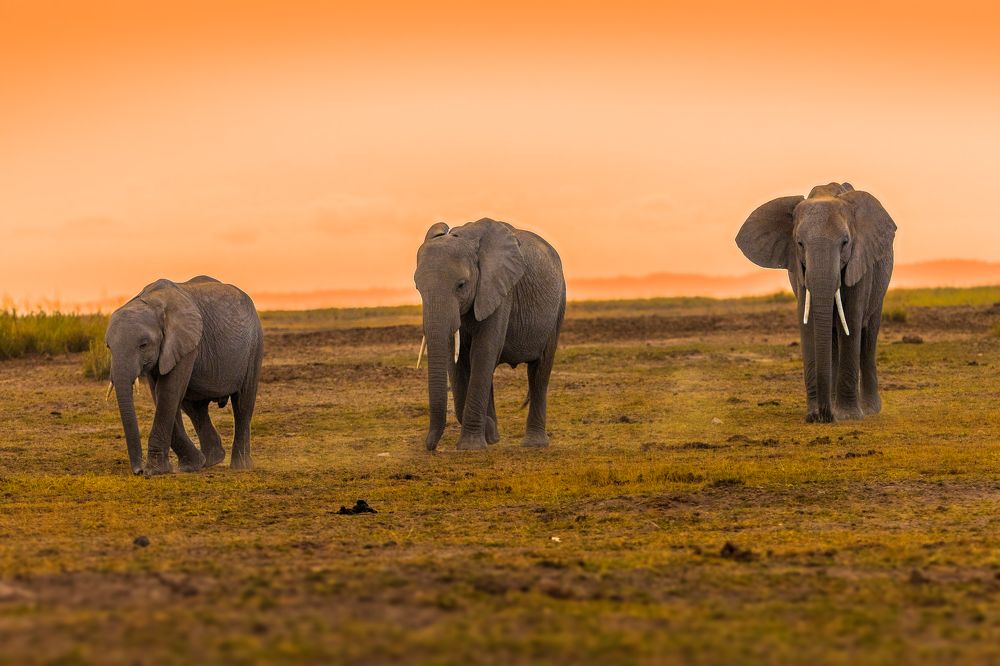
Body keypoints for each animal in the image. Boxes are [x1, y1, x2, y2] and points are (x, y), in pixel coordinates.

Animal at [105, 276, 264, 475]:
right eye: (108, 347)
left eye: (143, 345)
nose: (138, 470)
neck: (150, 303)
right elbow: (161, 394)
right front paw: (190, 465)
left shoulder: (185, 343)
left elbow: (168, 392)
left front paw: (155, 471)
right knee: (194, 406)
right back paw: (211, 460)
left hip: (254, 346)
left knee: (243, 403)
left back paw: (240, 466)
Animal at [414, 218, 566, 450]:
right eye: (418, 288)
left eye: (461, 285)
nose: (430, 447)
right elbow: (456, 359)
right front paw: (489, 434)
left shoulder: (501, 291)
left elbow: (483, 350)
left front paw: (471, 447)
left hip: (558, 307)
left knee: (540, 371)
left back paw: (533, 444)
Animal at [736, 183, 896, 423]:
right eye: (800, 244)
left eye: (845, 242)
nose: (824, 416)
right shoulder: (798, 270)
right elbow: (809, 322)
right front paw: (813, 415)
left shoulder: (859, 263)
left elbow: (851, 319)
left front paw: (848, 417)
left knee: (868, 337)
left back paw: (868, 409)